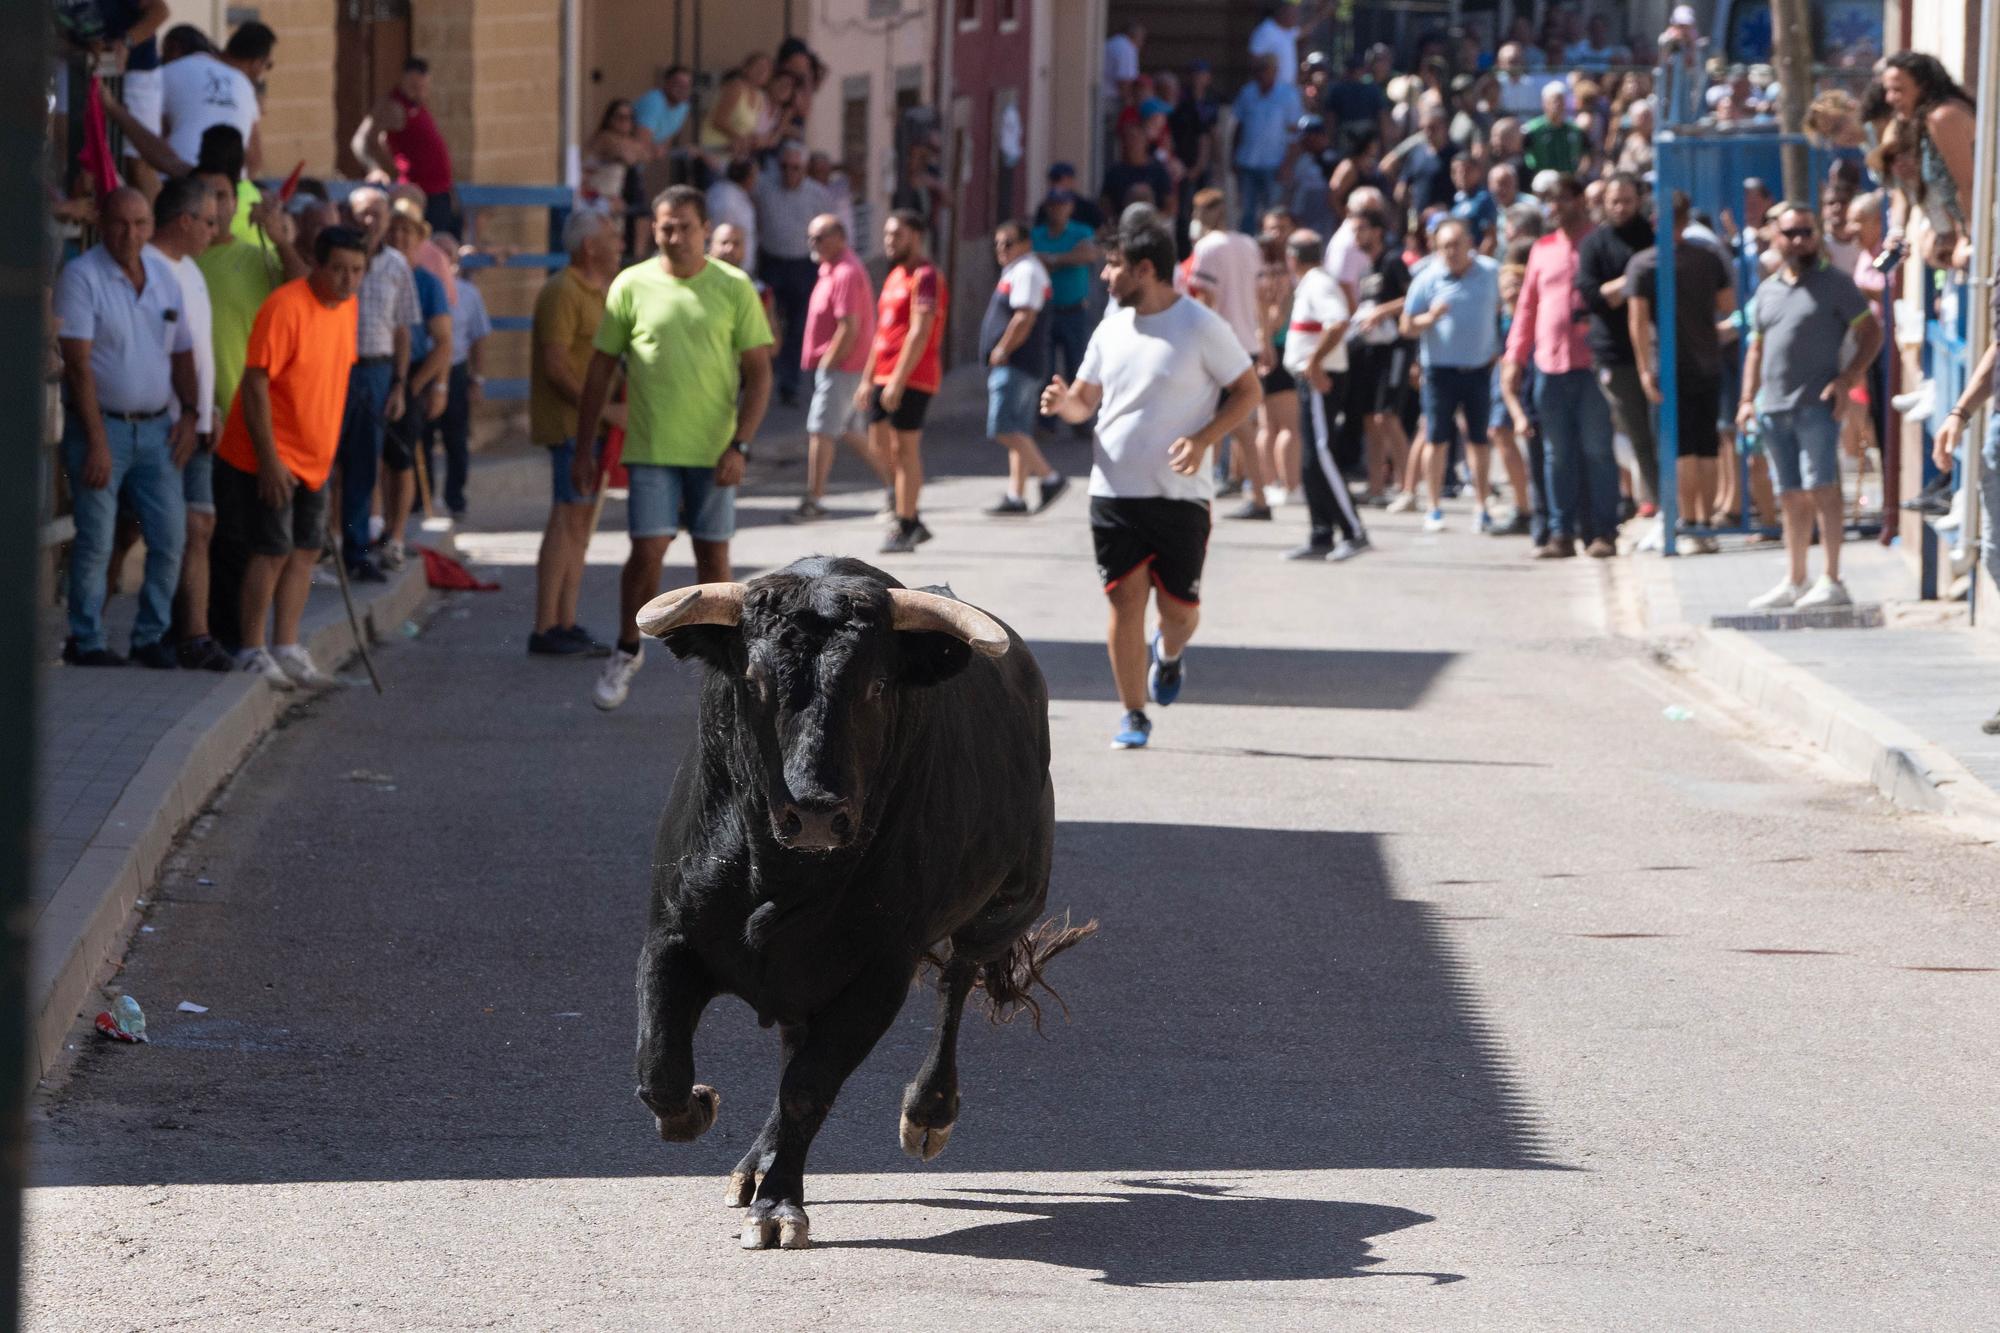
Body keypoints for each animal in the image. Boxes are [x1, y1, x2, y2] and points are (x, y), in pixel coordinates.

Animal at [632, 556, 1096, 1248]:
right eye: (754, 681)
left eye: (877, 686)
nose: (815, 815)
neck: (781, 876)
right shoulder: (671, 938)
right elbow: (661, 1068)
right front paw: (702, 1108)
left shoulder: (878, 975)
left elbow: (809, 1087)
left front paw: (779, 1207)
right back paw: (753, 1164)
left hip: (1006, 907)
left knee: (956, 981)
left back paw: (927, 1113)